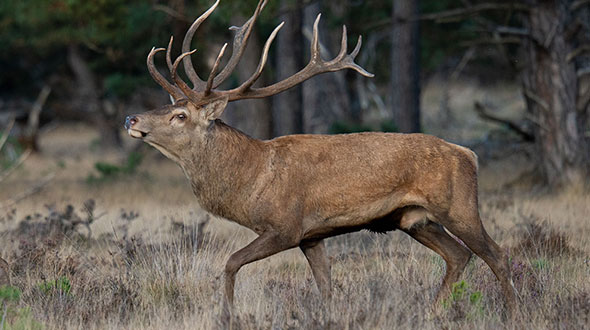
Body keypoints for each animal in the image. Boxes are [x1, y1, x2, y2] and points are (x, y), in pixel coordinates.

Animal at [125, 0, 520, 318]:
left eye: (180, 116)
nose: (132, 119)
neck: (250, 180)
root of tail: (469, 154)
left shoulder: (285, 226)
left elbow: (231, 262)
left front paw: (227, 315)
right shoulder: (311, 236)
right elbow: (326, 287)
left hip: (458, 206)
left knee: (497, 255)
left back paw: (511, 313)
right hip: (413, 219)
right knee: (458, 256)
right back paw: (430, 313)